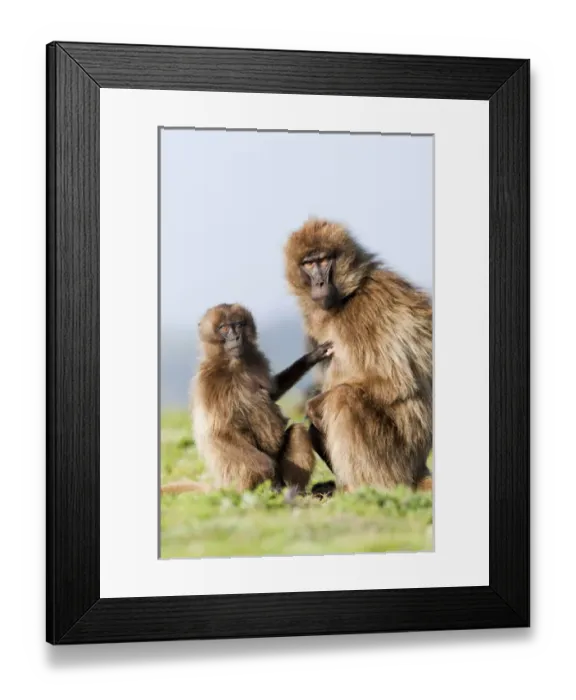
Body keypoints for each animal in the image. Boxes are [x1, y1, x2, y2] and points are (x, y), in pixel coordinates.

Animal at [160, 303, 333, 496]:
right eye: (224, 328)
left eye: (238, 325)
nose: (236, 337)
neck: (234, 365)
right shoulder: (208, 384)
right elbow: (217, 432)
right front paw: (267, 466)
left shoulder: (256, 361)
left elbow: (272, 392)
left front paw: (312, 357)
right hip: (237, 478)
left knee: (298, 431)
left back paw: (296, 492)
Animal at [283, 218, 433, 495]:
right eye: (308, 263)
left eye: (324, 260)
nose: (320, 283)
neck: (346, 297)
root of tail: (419, 471)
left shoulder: (367, 310)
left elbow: (395, 382)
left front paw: (313, 406)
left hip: (398, 457)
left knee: (343, 398)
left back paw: (364, 489)